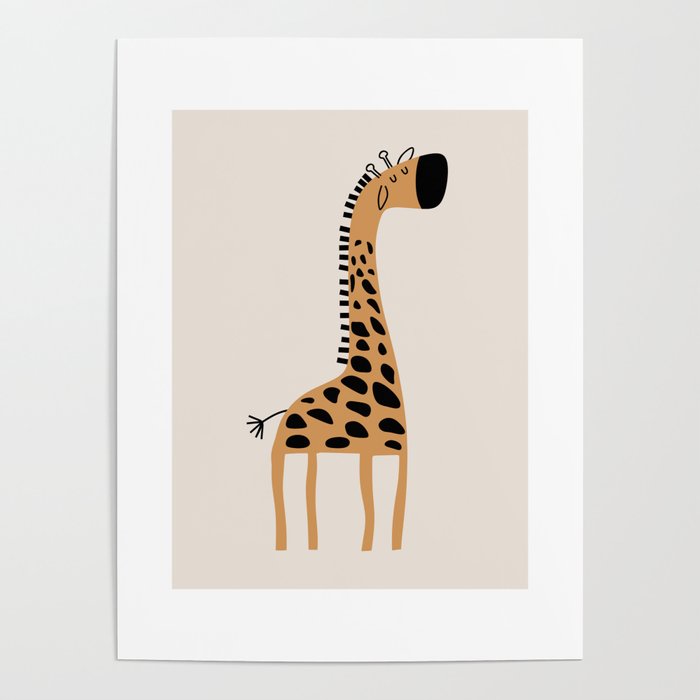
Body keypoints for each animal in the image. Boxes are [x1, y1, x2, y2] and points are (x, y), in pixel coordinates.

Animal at [248, 147, 448, 551]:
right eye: (398, 174)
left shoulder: (387, 455)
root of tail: (279, 422)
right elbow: (381, 517)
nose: (439, 166)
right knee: (292, 518)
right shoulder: (392, 450)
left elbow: (381, 519)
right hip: (297, 457)